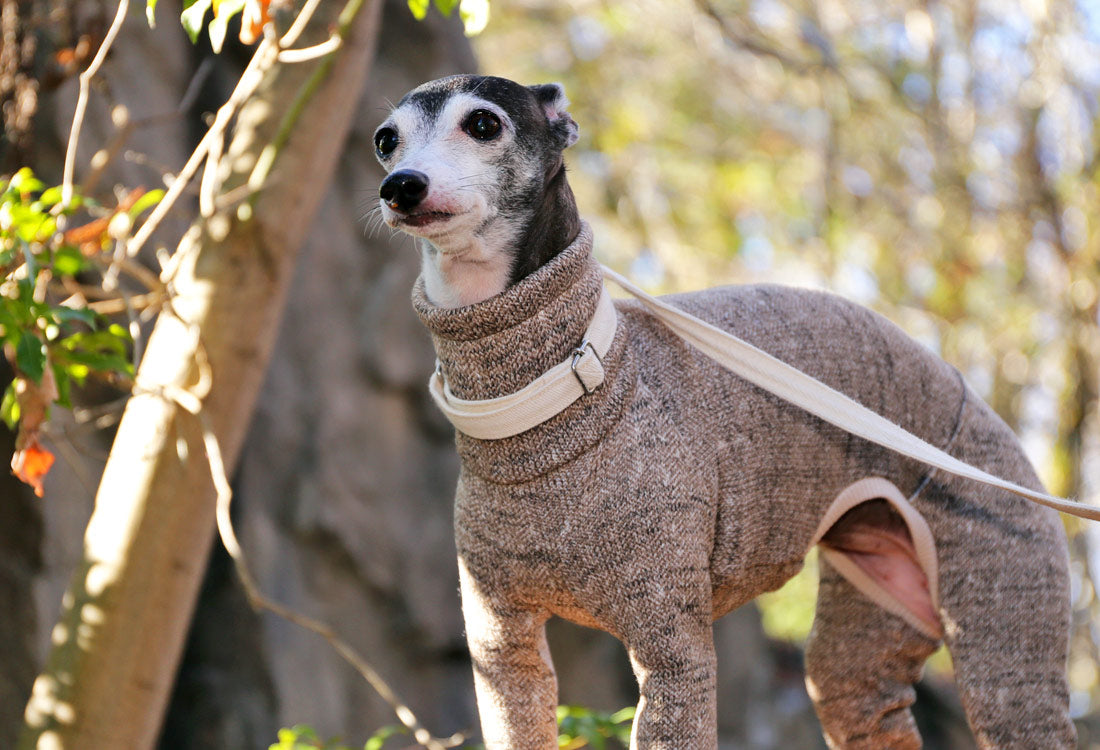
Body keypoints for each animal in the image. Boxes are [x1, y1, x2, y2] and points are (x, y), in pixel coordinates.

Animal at [376, 75, 1073, 747]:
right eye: (386, 139)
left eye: (483, 122)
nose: (400, 186)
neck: (556, 391)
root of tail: (965, 389)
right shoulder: (502, 650)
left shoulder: (672, 649)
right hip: (870, 624)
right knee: (864, 698)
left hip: (1001, 625)